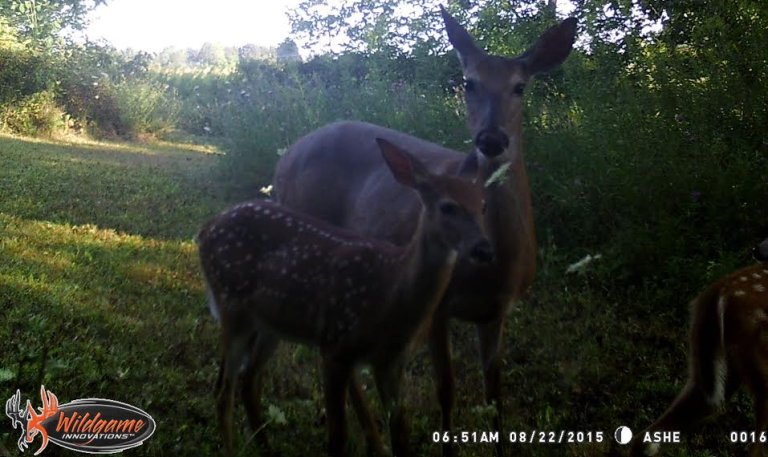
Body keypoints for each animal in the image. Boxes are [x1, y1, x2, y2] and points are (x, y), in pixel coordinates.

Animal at [199, 138, 492, 457]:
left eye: (482, 205)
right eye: (448, 207)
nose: (484, 248)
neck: (391, 292)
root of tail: (204, 231)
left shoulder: (391, 362)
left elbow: (401, 437)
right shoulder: (335, 346)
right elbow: (338, 437)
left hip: (271, 323)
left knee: (248, 380)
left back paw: (266, 448)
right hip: (232, 308)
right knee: (222, 390)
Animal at [273, 7, 576, 456]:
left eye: (520, 87)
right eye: (468, 82)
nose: (490, 139)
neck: (496, 266)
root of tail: (286, 156)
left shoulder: (498, 311)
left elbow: (495, 394)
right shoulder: (437, 304)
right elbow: (445, 391)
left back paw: (374, 439)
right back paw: (375, 440)